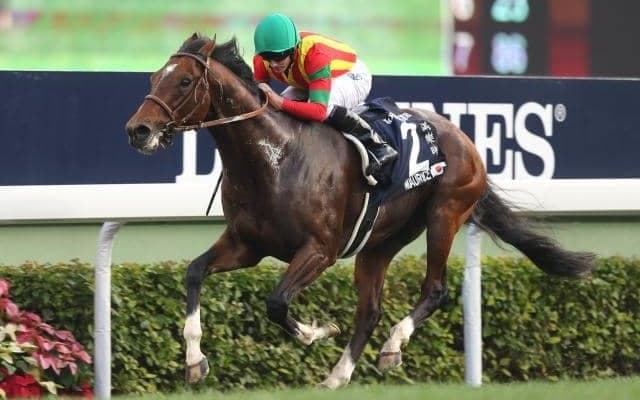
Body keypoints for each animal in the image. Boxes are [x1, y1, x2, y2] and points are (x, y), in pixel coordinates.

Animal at [125, 33, 595, 389]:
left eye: (185, 81)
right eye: (154, 76)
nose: (138, 130)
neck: (274, 159)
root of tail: (466, 140)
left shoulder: (320, 249)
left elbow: (276, 302)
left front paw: (317, 331)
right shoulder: (246, 244)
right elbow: (193, 272)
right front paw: (194, 360)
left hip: (444, 214)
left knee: (435, 289)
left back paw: (392, 347)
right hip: (379, 242)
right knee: (369, 310)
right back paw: (338, 376)